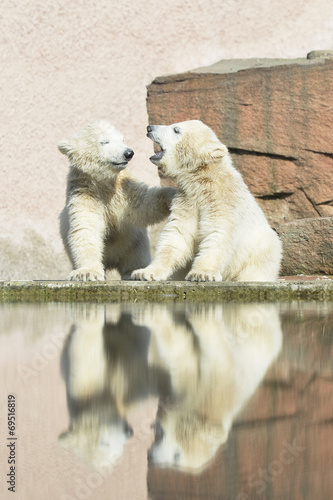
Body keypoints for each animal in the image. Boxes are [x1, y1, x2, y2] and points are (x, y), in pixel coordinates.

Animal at [58, 119, 175, 280]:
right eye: (104, 141)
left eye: (122, 140)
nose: (128, 153)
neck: (104, 182)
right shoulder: (84, 191)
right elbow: (85, 227)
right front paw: (86, 272)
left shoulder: (122, 187)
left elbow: (142, 204)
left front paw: (171, 194)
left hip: (133, 243)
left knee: (134, 258)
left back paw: (132, 272)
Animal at [131, 120, 282, 282]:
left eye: (176, 129)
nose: (149, 128)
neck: (204, 179)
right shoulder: (187, 200)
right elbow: (177, 235)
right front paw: (144, 273)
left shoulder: (223, 200)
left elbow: (217, 232)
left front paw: (201, 274)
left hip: (262, 251)